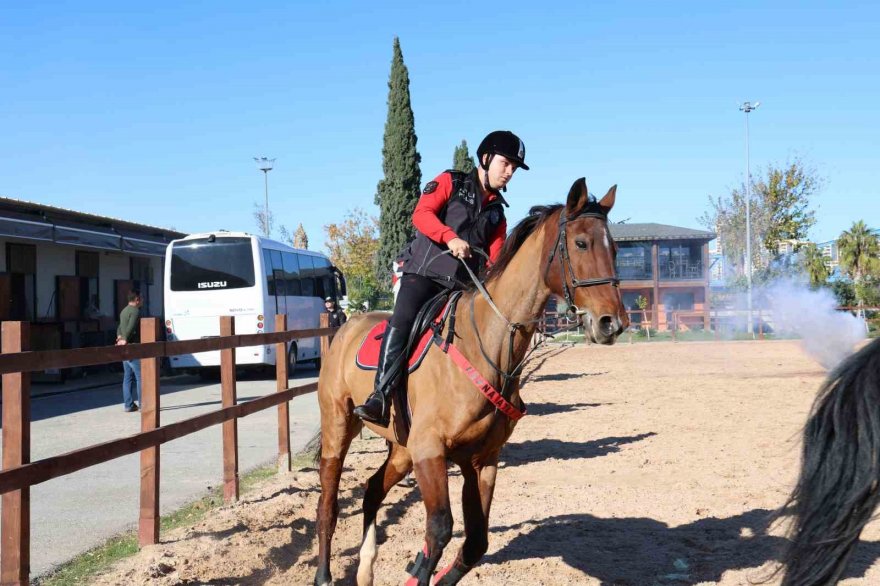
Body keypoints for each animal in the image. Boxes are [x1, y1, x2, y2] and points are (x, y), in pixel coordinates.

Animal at [310, 178, 624, 584]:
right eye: (581, 243)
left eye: (614, 248)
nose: (611, 323)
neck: (483, 344)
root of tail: (345, 327)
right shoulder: (430, 450)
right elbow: (440, 529)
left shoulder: (482, 460)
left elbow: (475, 542)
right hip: (340, 427)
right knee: (328, 504)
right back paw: (324, 574)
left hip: (401, 448)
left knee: (372, 489)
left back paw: (365, 568)